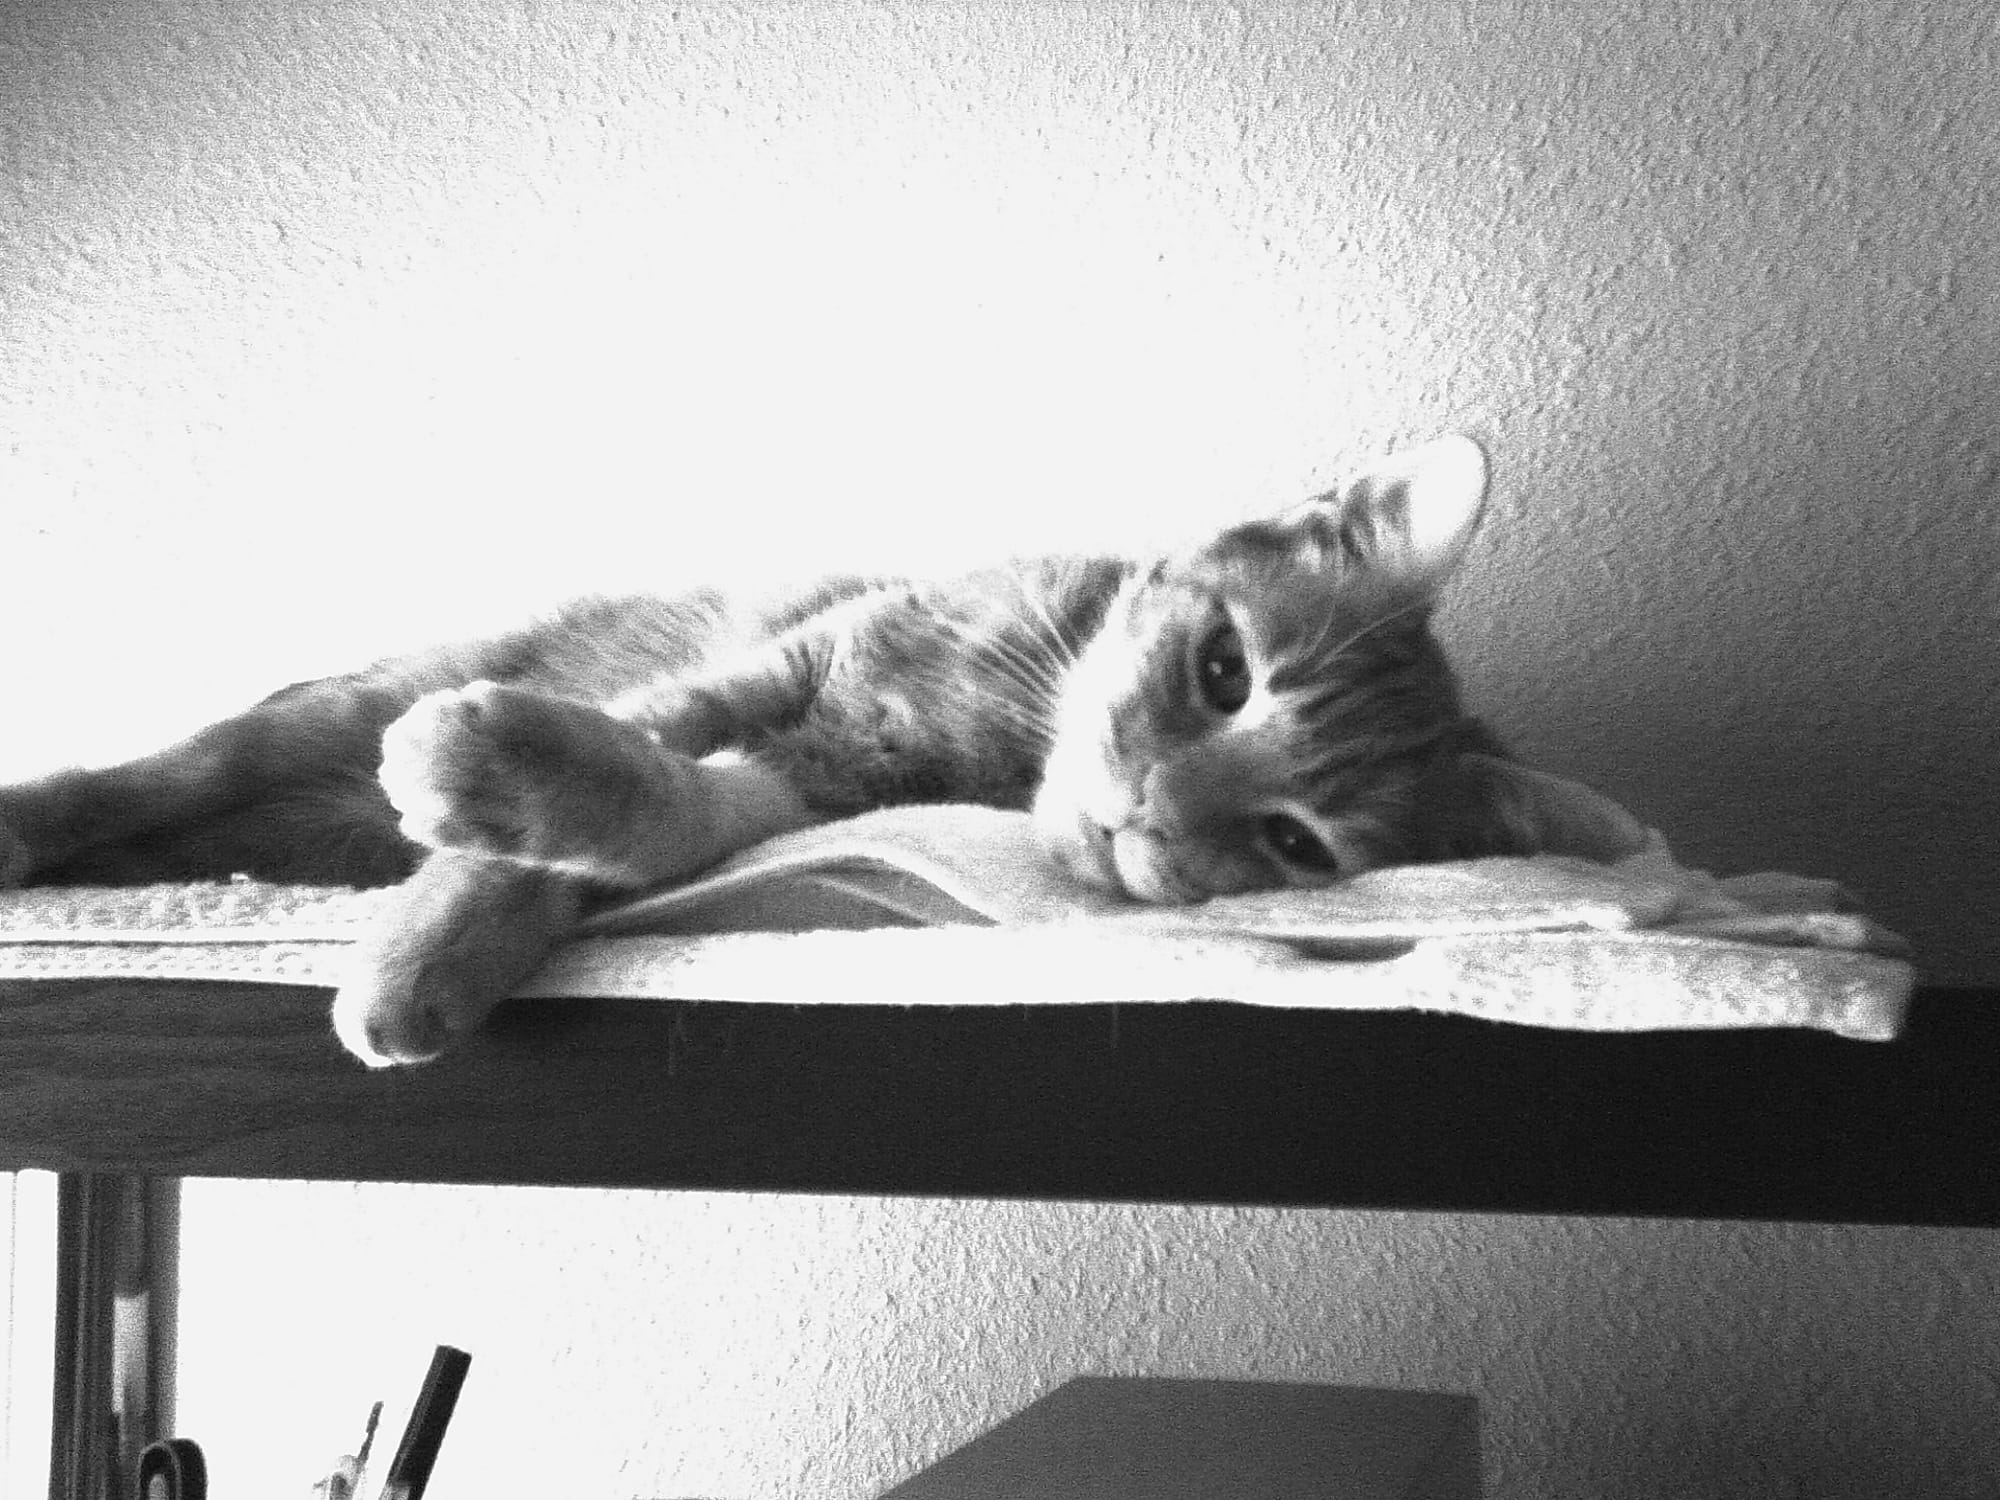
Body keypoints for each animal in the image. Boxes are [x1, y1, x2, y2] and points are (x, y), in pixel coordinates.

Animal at [0, 434, 1568, 1072]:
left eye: (1292, 844)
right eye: (1223, 671)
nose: (1145, 812)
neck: (1001, 730)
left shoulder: (801, 787)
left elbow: (643, 817)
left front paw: (434, 930)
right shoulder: (773, 672)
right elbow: (614, 766)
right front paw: (439, 906)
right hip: (309, 715)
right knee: (162, 774)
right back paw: (36, 825)